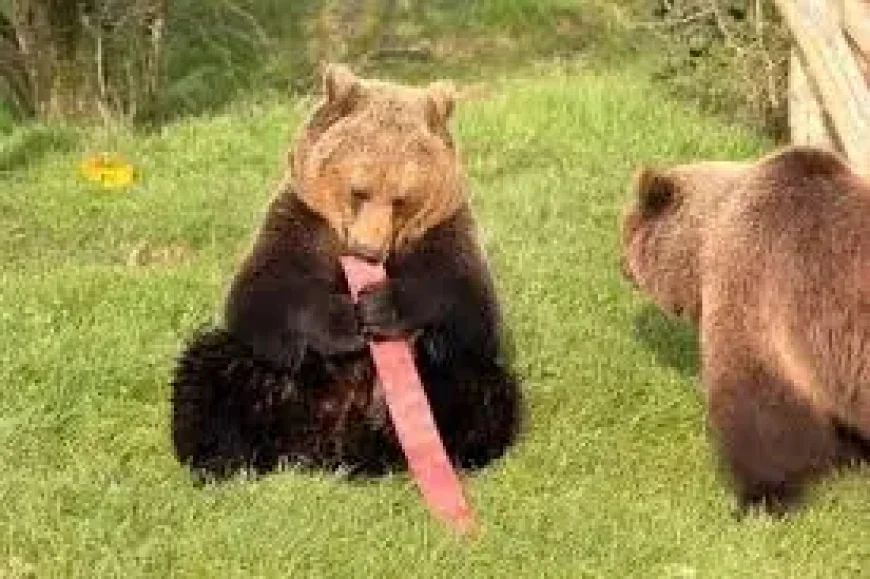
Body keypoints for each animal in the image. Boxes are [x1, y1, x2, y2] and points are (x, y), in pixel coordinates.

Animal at [170, 63, 523, 481]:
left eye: (401, 199)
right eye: (359, 190)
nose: (368, 250)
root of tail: (333, 443)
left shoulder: (443, 230)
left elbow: (471, 306)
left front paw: (380, 305)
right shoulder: (301, 222)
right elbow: (262, 294)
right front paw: (347, 319)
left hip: (445, 385)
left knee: (483, 390)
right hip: (268, 382)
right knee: (210, 377)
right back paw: (221, 460)